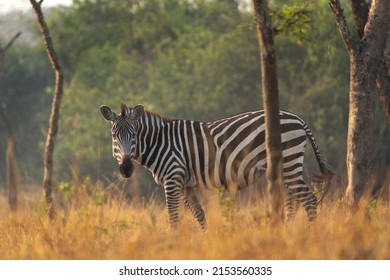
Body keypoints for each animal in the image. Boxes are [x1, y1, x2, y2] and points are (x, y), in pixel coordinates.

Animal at [100, 101, 332, 229]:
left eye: (134, 135)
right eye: (114, 136)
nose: (126, 169)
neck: (160, 142)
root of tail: (297, 118)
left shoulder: (173, 179)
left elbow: (173, 217)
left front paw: (173, 245)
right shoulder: (186, 184)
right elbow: (199, 214)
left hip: (289, 162)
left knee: (309, 200)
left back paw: (308, 236)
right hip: (285, 166)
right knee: (294, 203)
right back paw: (287, 233)